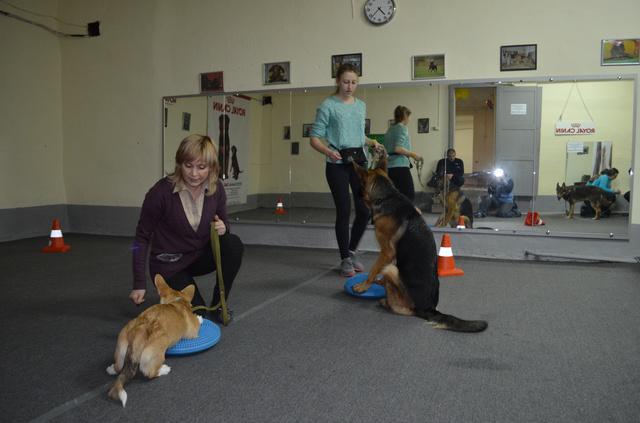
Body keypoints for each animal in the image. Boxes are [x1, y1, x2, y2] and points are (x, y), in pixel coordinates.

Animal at [105, 274, 200, 408]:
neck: (175, 301)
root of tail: (139, 331)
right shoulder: (193, 331)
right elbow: (198, 323)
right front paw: (200, 317)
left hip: (121, 347)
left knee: (119, 366)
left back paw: (111, 369)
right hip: (157, 353)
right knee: (150, 373)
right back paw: (164, 369)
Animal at [356, 160, 484, 334]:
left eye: (360, 183)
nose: (356, 194)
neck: (387, 196)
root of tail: (429, 309)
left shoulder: (386, 252)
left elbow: (373, 270)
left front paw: (363, 286)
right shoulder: (392, 254)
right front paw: (377, 282)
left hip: (392, 270)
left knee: (399, 306)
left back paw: (384, 301)